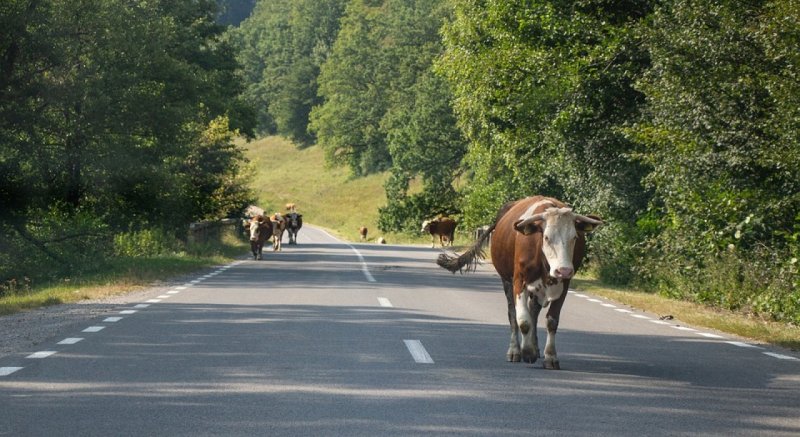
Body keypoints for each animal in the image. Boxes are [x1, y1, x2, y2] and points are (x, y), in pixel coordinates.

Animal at [438, 196, 600, 370]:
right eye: (547, 237)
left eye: (574, 237)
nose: (563, 270)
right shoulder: (518, 281)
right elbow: (522, 320)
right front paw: (527, 352)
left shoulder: (564, 285)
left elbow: (551, 321)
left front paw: (550, 356)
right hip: (506, 281)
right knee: (513, 314)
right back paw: (515, 350)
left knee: (533, 310)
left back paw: (535, 346)